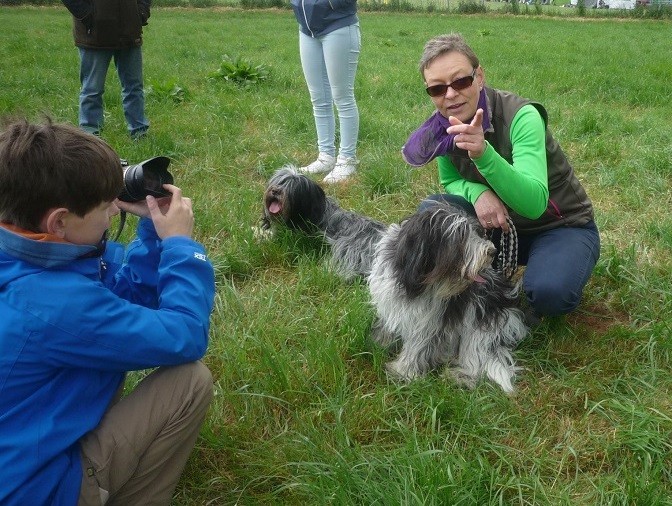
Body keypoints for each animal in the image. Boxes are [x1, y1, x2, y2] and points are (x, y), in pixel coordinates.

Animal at [260, 168, 528, 394]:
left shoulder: (429, 320)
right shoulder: (391, 302)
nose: (491, 251)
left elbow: (417, 348)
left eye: (475, 232)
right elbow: (386, 329)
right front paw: (375, 345)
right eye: (460, 236)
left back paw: (461, 375)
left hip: (481, 325)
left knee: (478, 358)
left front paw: (404, 372)